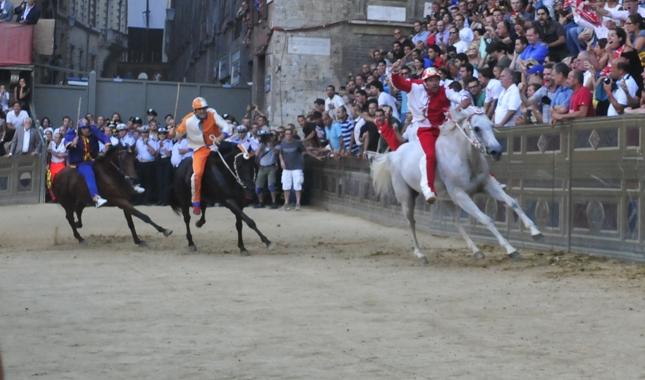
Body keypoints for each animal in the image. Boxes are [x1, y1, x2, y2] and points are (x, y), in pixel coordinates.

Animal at [370, 105, 540, 262]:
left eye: (491, 125)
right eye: (477, 128)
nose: (496, 151)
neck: (463, 157)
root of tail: (394, 154)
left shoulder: (487, 185)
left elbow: (512, 202)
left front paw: (536, 232)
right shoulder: (460, 194)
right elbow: (486, 219)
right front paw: (511, 249)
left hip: (446, 199)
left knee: (455, 221)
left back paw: (476, 251)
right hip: (406, 196)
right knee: (411, 221)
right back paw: (420, 254)